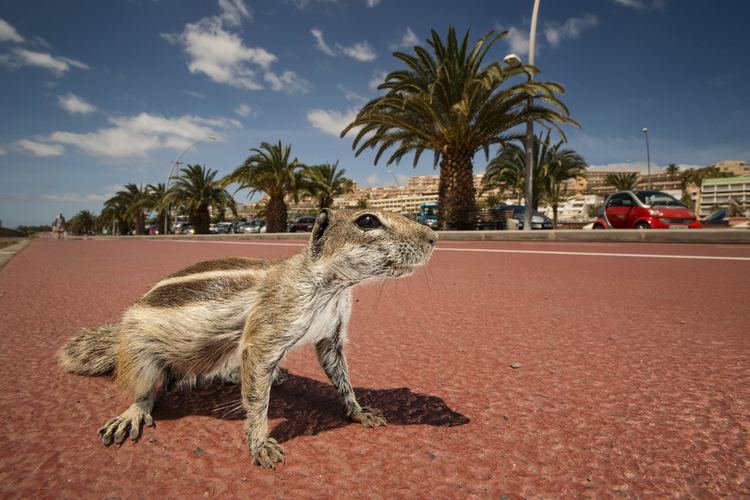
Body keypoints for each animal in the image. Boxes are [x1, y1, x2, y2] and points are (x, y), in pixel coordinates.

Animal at [60, 208, 440, 468]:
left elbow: (341, 377)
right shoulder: (266, 334)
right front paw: (260, 444)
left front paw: (359, 412)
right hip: (139, 353)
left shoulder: (331, 336)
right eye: (367, 221)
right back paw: (133, 413)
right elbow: (258, 399)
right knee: (147, 390)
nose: (433, 236)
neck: (332, 287)